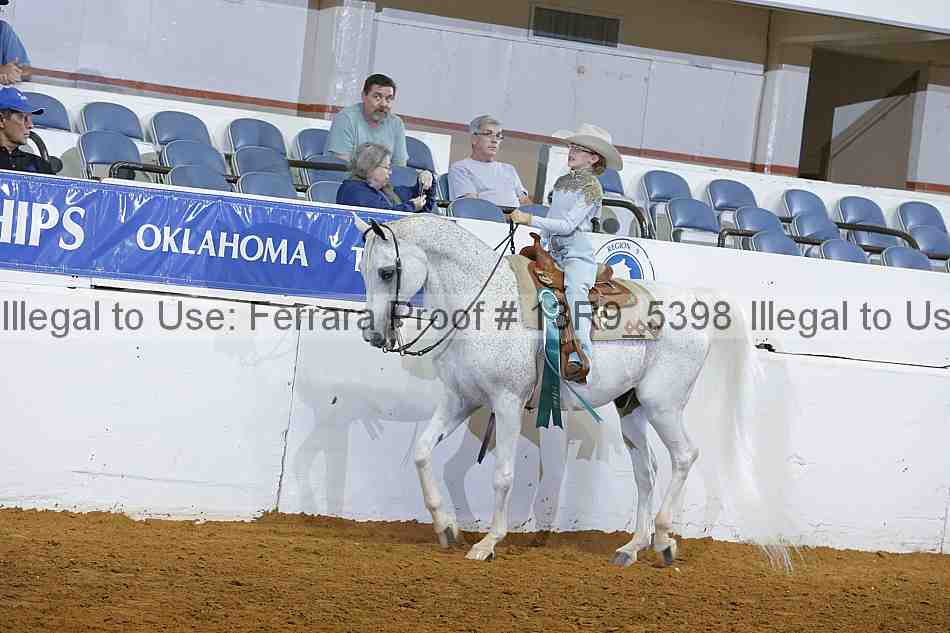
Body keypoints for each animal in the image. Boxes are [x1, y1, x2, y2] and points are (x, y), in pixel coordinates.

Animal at [352, 212, 790, 568]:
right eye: (363, 270)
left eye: (386, 272)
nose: (373, 334)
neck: (486, 304)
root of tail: (696, 299)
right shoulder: (459, 399)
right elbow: (423, 452)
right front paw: (446, 527)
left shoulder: (507, 402)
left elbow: (503, 475)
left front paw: (488, 543)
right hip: (632, 409)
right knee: (645, 471)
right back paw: (632, 547)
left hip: (662, 405)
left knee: (684, 456)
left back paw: (664, 540)